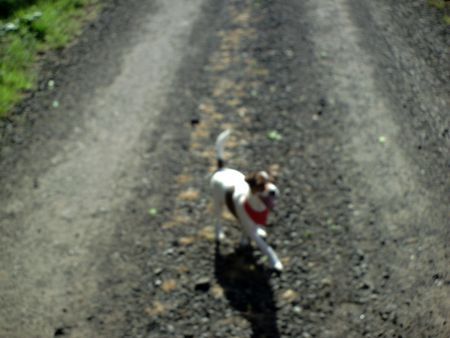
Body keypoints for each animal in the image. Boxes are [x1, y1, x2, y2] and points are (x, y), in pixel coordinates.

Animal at [209, 130, 284, 272]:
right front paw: (275, 262)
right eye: (260, 185)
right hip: (217, 203)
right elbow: (267, 248)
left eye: (273, 181)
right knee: (217, 219)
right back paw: (219, 233)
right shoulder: (252, 231)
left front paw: (248, 237)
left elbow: (250, 229)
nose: (273, 191)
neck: (257, 206)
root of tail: (222, 169)